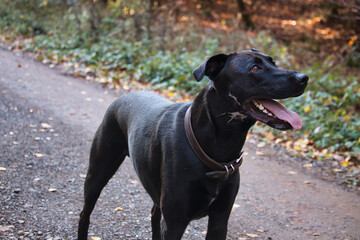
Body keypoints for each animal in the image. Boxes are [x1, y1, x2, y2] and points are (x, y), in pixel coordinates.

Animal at [77, 48, 308, 240]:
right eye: (255, 68)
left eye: (273, 62)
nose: (304, 78)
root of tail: (122, 97)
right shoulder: (175, 223)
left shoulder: (219, 220)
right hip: (98, 172)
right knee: (84, 213)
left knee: (153, 214)